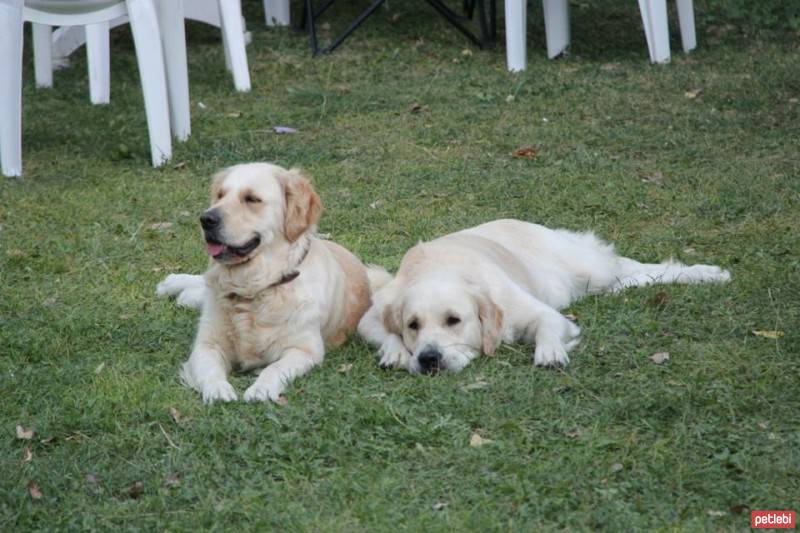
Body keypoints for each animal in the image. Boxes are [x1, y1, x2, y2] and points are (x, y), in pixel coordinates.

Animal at [158, 163, 380, 404]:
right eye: (220, 195)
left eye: (252, 199)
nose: (206, 219)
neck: (256, 287)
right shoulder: (207, 344)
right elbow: (210, 370)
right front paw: (217, 390)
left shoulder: (305, 349)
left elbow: (274, 368)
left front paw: (260, 389)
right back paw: (172, 284)